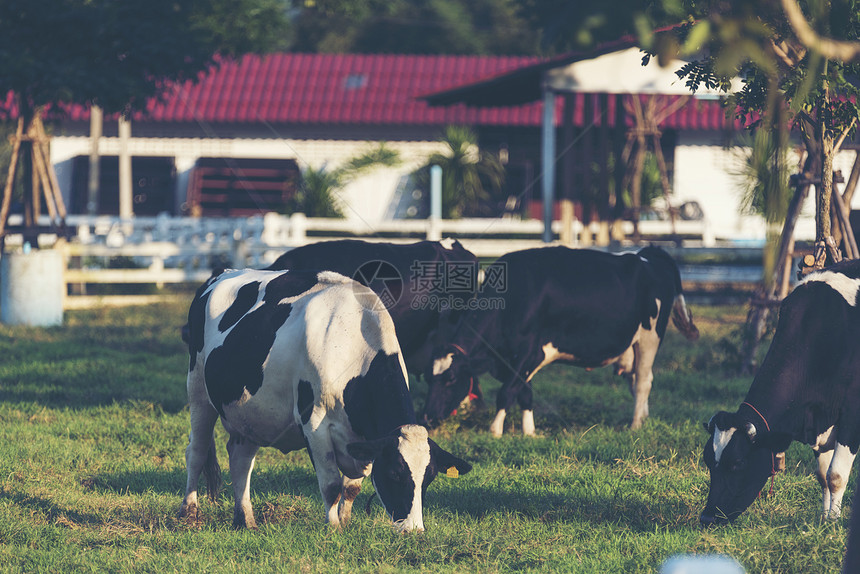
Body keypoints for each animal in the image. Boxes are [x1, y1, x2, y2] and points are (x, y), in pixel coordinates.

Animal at [176, 268, 470, 532]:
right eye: (395, 473)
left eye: (429, 478)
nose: (414, 530)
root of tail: (221, 274)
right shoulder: (315, 423)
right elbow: (331, 486)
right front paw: (334, 529)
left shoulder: (363, 440)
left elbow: (351, 488)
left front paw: (347, 523)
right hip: (197, 389)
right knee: (196, 451)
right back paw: (189, 513)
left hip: (249, 413)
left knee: (241, 461)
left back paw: (245, 520)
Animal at [424, 246, 700, 436]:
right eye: (428, 379)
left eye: (450, 379)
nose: (427, 418)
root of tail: (647, 255)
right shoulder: (519, 357)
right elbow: (525, 392)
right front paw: (529, 431)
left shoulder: (529, 351)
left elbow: (507, 391)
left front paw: (495, 430)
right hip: (630, 346)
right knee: (635, 382)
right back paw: (642, 418)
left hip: (649, 338)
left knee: (644, 381)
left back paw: (634, 425)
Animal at [700, 260, 860, 528]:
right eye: (708, 461)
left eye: (738, 463)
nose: (707, 516)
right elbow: (822, 476)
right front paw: (823, 519)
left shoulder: (851, 415)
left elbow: (835, 475)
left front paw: (833, 523)